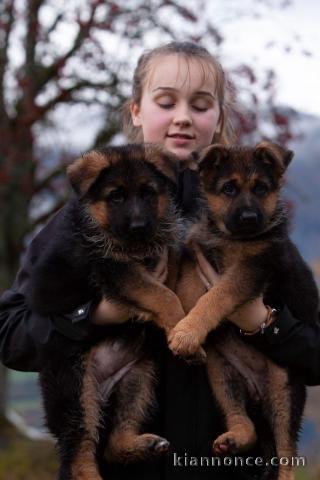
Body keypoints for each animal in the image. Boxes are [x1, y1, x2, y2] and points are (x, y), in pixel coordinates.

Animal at [28, 143, 188, 480]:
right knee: (79, 448)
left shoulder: (160, 256)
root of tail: (101, 389)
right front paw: (179, 322)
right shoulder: (110, 269)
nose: (139, 227)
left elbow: (173, 273)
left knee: (113, 441)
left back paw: (143, 445)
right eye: (116, 196)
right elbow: (161, 294)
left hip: (139, 376)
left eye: (148, 193)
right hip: (74, 386)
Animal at [169, 142, 318, 480]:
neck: (231, 238)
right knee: (241, 420)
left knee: (286, 455)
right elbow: (188, 285)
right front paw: (181, 321)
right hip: (222, 373)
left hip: (285, 391)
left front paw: (186, 332)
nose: (249, 217)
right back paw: (235, 439)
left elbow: (216, 296)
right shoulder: (197, 254)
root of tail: (257, 394)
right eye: (229, 189)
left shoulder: (251, 269)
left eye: (261, 188)